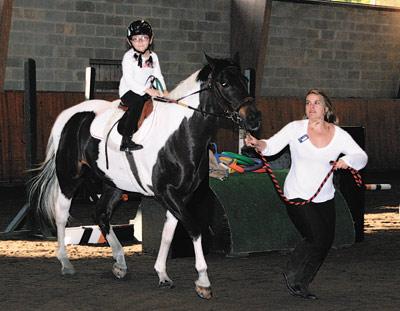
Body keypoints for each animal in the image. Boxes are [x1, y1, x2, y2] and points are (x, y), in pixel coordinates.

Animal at [29, 55, 262, 300]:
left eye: (245, 80)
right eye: (224, 83)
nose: (254, 118)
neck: (180, 134)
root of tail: (71, 115)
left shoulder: (182, 196)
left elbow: (168, 232)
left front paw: (162, 274)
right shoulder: (166, 192)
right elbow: (194, 228)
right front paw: (203, 282)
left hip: (114, 185)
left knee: (101, 214)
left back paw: (120, 264)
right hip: (69, 179)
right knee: (61, 216)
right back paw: (65, 263)